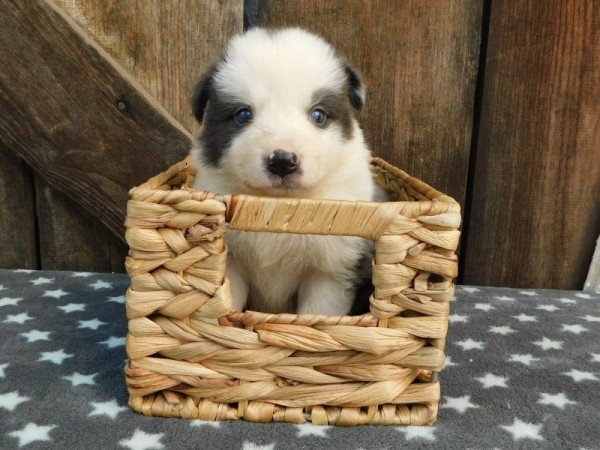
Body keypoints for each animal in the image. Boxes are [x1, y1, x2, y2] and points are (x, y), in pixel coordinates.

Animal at [190, 27, 376, 316]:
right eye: (243, 115)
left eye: (318, 115)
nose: (282, 161)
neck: (277, 206)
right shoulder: (231, 260)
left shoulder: (331, 269)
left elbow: (317, 314)